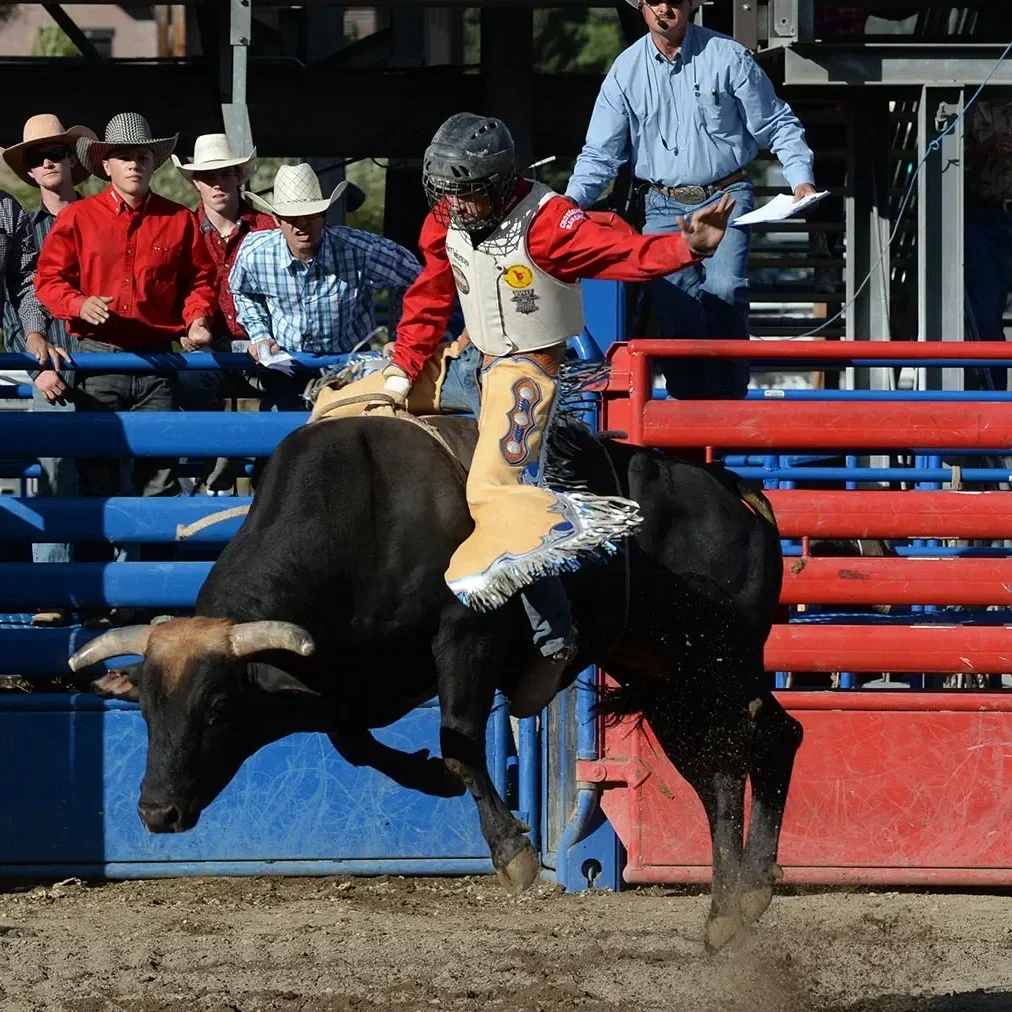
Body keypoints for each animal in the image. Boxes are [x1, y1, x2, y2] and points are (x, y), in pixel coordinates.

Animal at [70, 414, 798, 953]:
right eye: (146, 711)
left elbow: (459, 738)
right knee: (739, 760)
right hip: (668, 677)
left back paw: (741, 899)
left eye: (219, 707)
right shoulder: (341, 682)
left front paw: (513, 852)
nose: (156, 812)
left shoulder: (466, 635)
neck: (367, 515)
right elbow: (355, 742)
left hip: (719, 666)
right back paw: (735, 903)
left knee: (759, 747)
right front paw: (429, 778)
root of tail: (738, 495)